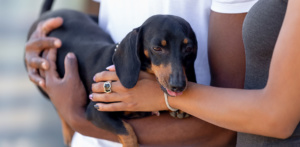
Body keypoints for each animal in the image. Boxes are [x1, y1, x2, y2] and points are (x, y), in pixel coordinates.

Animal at [27, 0, 197, 146]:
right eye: (157, 48)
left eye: (189, 49)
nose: (178, 86)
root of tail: (45, 15)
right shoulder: (96, 111)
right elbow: (127, 131)